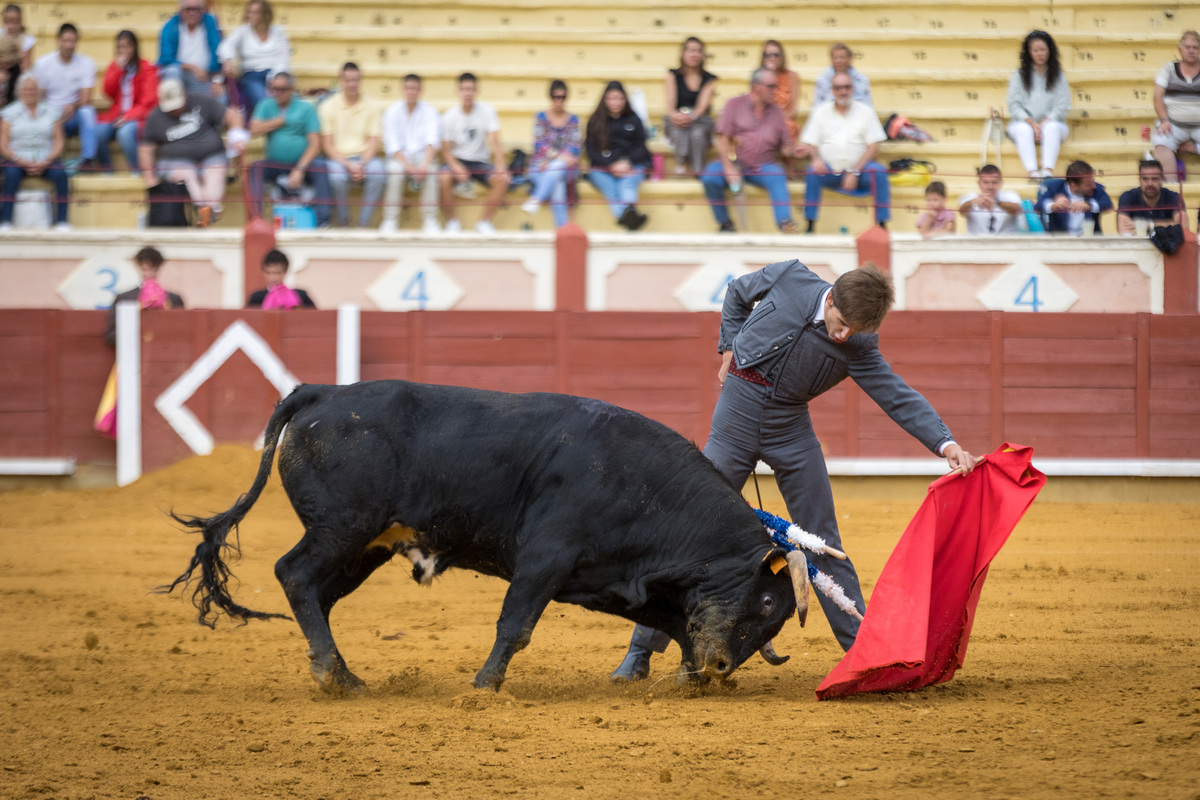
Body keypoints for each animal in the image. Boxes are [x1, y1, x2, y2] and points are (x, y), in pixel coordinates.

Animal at [164, 379, 801, 690]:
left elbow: (671, 621)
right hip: (341, 527)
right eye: (769, 601)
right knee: (293, 574)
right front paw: (485, 685)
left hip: (361, 548)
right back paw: (333, 676)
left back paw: (342, 673)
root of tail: (322, 393)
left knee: (316, 594)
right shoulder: (545, 558)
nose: (722, 670)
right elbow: (515, 625)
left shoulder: (617, 579)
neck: (644, 483)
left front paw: (692, 675)